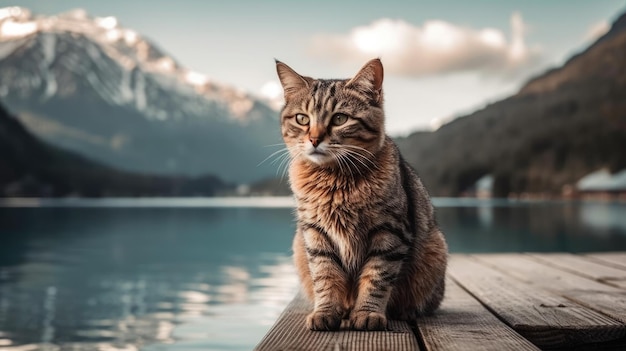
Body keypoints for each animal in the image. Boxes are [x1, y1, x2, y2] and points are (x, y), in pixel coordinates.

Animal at [276, 58, 446, 332]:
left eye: (339, 119)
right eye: (302, 119)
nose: (314, 139)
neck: (334, 180)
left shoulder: (389, 233)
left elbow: (376, 277)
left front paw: (367, 313)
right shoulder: (315, 234)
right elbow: (325, 276)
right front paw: (326, 311)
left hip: (435, 250)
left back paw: (406, 310)